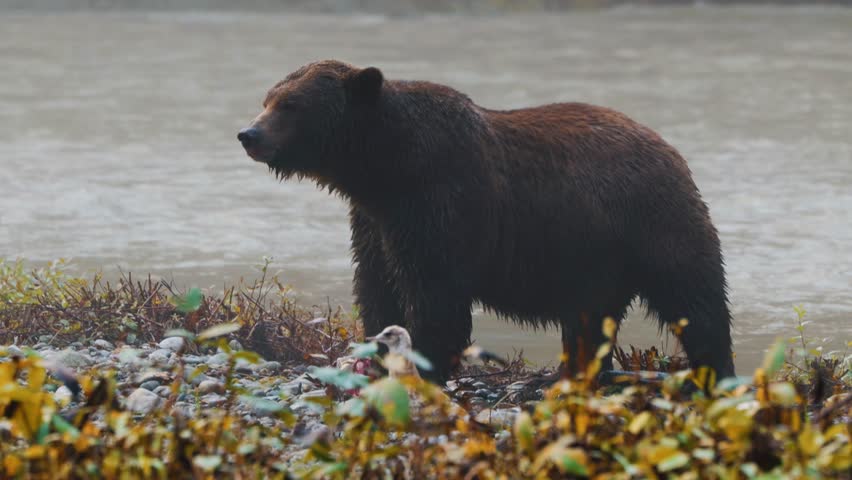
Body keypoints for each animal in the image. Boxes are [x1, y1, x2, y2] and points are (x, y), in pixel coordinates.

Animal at [237, 59, 735, 382]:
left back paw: (714, 371)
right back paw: (570, 371)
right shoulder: (375, 220)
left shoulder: (439, 201)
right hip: (593, 254)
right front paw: (375, 351)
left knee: (695, 296)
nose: (249, 133)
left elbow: (434, 292)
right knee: (590, 316)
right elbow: (377, 283)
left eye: (291, 105)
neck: (385, 168)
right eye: (268, 98)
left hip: (651, 222)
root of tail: (669, 148)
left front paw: (426, 360)